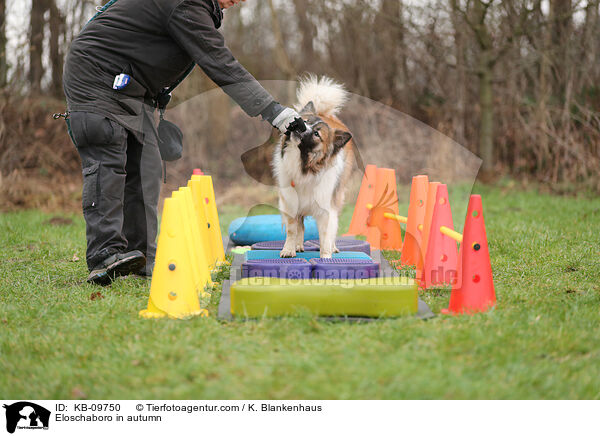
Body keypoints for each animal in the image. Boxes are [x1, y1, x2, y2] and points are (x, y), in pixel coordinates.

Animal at [274, 76, 354, 258]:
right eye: (304, 121)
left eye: (317, 133)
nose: (298, 129)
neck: (304, 166)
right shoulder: (290, 202)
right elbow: (292, 229)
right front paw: (289, 249)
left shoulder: (326, 207)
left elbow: (326, 233)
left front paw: (325, 256)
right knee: (300, 224)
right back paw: (298, 245)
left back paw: (333, 247)